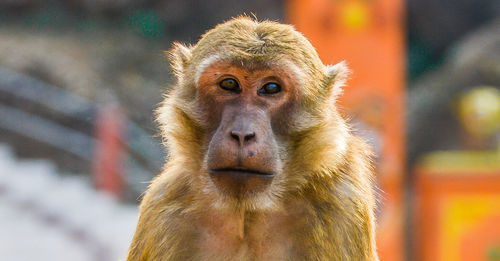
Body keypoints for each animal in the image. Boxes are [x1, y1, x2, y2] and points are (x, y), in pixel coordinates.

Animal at [127, 16, 376, 260]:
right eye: (229, 84)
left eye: (271, 87)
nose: (242, 134)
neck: (246, 213)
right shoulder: (163, 207)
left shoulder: (341, 204)